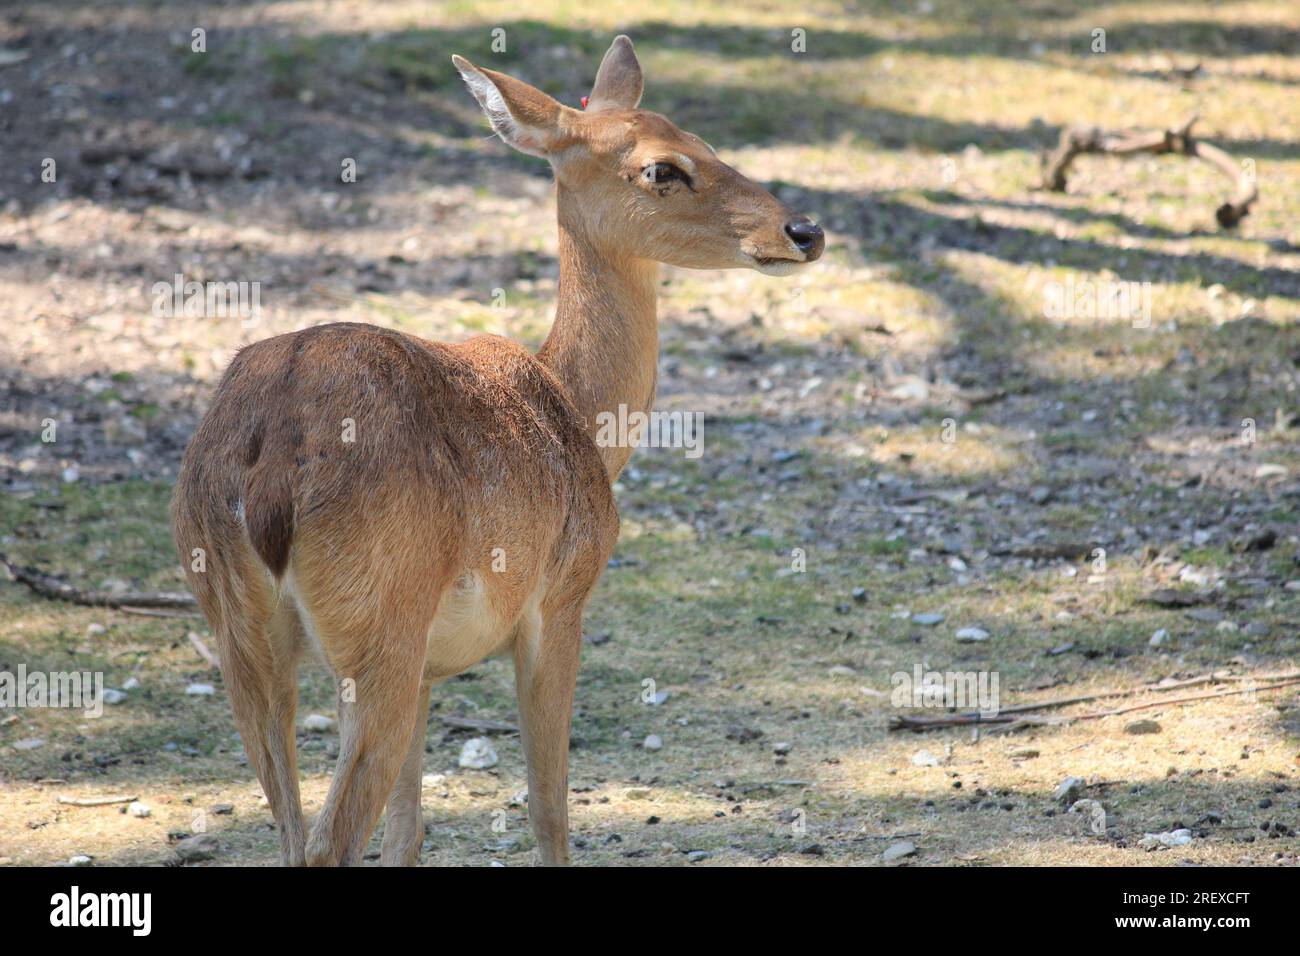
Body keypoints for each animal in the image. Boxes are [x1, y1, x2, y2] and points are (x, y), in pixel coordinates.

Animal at [170, 35, 821, 868]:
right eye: (662, 168)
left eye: (704, 139)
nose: (803, 231)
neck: (577, 408)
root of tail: (270, 475)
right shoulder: (561, 598)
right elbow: (548, 807)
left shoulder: (427, 669)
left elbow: (409, 830)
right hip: (378, 625)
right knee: (327, 842)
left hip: (241, 635)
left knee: (292, 831)